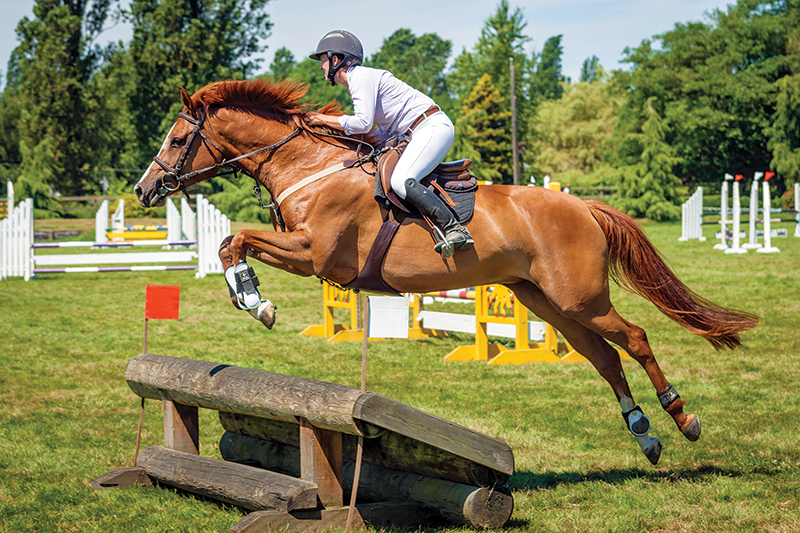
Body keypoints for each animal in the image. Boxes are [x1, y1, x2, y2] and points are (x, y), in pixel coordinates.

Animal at [135, 78, 757, 466]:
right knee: (603, 355)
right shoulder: (308, 255)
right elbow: (231, 242)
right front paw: (250, 296)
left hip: (579, 297)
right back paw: (644, 436)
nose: (143, 190)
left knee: (636, 337)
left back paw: (683, 418)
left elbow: (236, 239)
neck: (309, 165)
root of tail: (582, 205)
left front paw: (255, 302)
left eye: (178, 138)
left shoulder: (316, 255)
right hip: (545, 301)